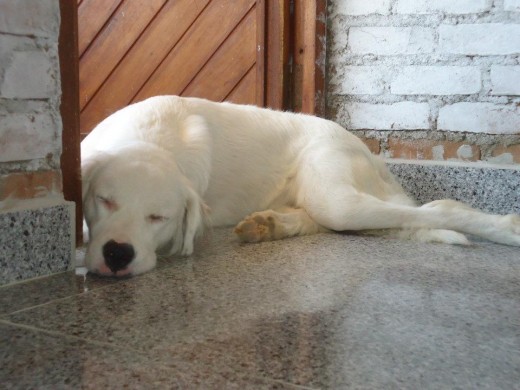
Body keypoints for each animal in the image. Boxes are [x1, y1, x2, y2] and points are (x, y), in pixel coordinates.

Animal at [82, 96, 520, 276]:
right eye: (104, 201)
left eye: (159, 218)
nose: (118, 253)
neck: (153, 137)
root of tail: (368, 152)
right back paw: (268, 225)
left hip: (336, 195)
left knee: (436, 209)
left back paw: (506, 228)